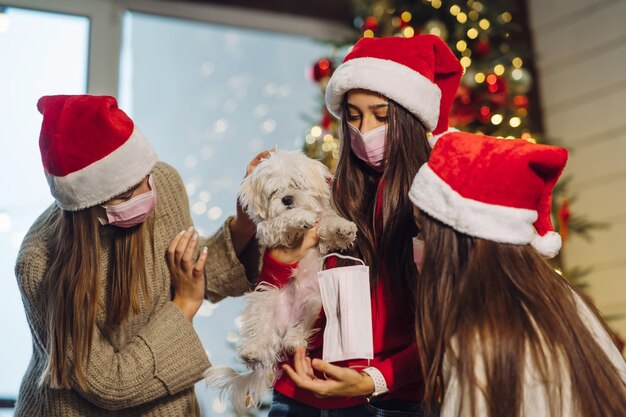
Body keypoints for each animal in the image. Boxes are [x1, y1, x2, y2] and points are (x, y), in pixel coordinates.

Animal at [205, 150, 356, 412]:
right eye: (273, 191)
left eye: (296, 184)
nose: (287, 199)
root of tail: (282, 326)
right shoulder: (270, 231)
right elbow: (282, 221)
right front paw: (299, 217)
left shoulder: (322, 237)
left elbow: (328, 223)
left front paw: (343, 228)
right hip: (263, 299)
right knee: (260, 335)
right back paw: (254, 351)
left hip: (314, 303)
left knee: (296, 332)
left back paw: (293, 341)